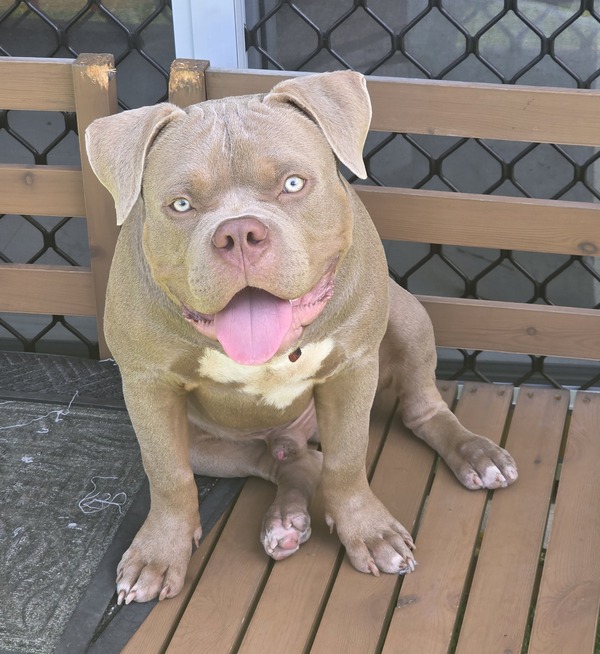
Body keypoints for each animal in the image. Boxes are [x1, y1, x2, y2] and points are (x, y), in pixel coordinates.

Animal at [85, 71, 517, 605]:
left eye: (293, 183)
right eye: (181, 204)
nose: (239, 233)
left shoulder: (353, 368)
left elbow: (348, 461)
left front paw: (368, 532)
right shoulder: (147, 388)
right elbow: (167, 475)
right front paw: (159, 554)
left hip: (409, 317)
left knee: (421, 410)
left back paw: (476, 454)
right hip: (212, 445)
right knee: (292, 463)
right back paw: (285, 520)